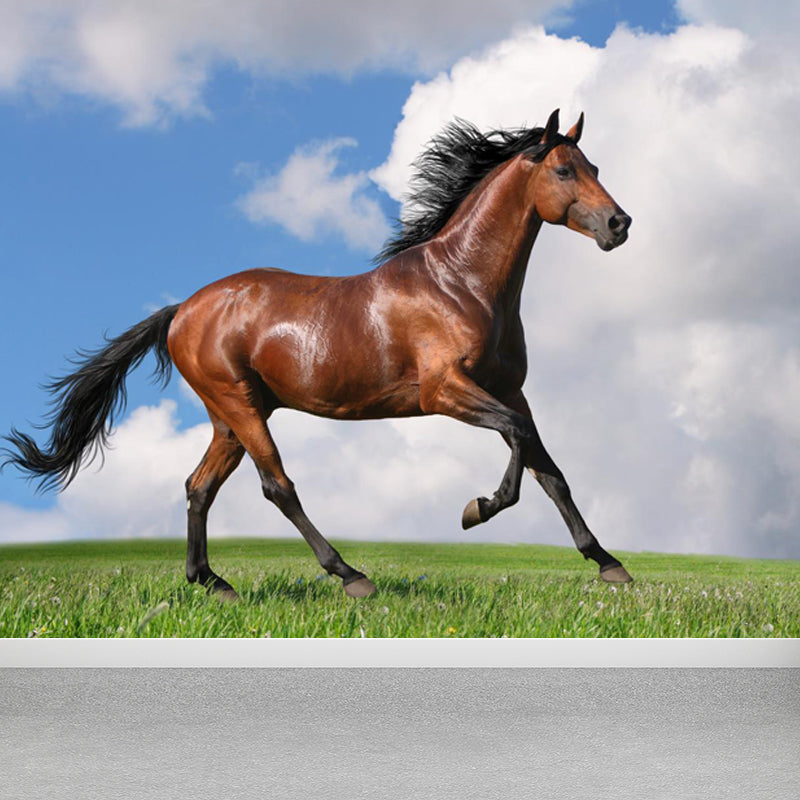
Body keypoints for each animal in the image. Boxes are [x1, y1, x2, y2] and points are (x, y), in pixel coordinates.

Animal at [3, 109, 633, 600]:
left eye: (596, 168)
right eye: (564, 169)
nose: (619, 223)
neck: (462, 283)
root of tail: (182, 309)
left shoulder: (510, 389)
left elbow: (550, 470)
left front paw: (609, 564)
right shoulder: (445, 391)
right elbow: (519, 445)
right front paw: (476, 508)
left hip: (230, 416)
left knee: (199, 486)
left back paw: (213, 583)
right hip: (239, 405)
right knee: (276, 485)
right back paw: (350, 575)